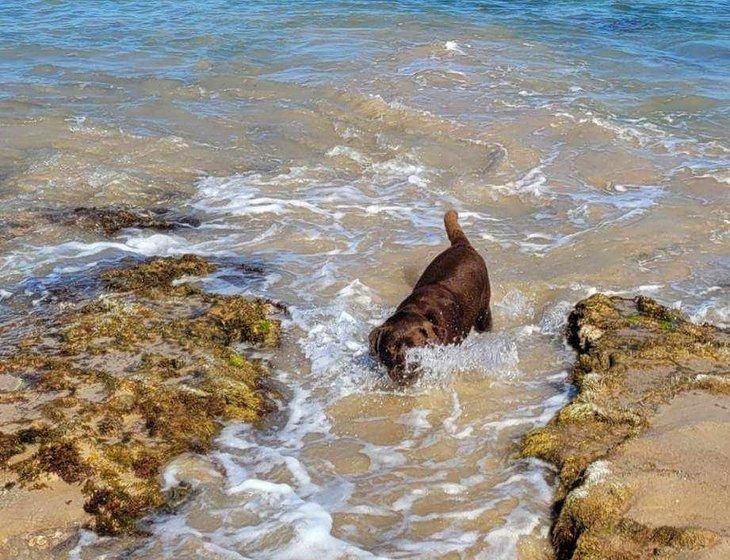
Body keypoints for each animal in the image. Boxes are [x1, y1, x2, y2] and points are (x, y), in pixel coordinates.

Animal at [366, 210, 492, 384]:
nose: (406, 369)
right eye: (390, 348)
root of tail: (462, 245)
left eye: (417, 347)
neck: (418, 309)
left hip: (483, 314)